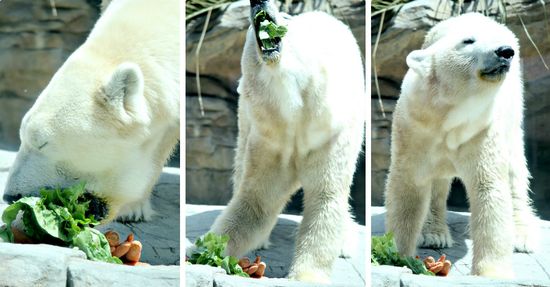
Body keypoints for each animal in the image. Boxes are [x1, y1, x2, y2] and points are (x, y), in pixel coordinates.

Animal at [207, 0, 366, 284]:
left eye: (287, 19)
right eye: (250, 29)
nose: (258, 2)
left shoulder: (329, 135)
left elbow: (325, 198)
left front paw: (307, 276)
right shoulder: (273, 140)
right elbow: (256, 200)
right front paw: (206, 251)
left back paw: (346, 243)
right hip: (245, 116)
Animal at [388, 12, 544, 280]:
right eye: (467, 41)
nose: (505, 51)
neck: (448, 114)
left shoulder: (481, 130)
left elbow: (489, 188)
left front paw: (492, 271)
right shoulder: (415, 129)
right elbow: (408, 187)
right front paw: (396, 255)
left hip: (513, 112)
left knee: (515, 171)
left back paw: (521, 237)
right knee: (437, 185)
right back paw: (434, 234)